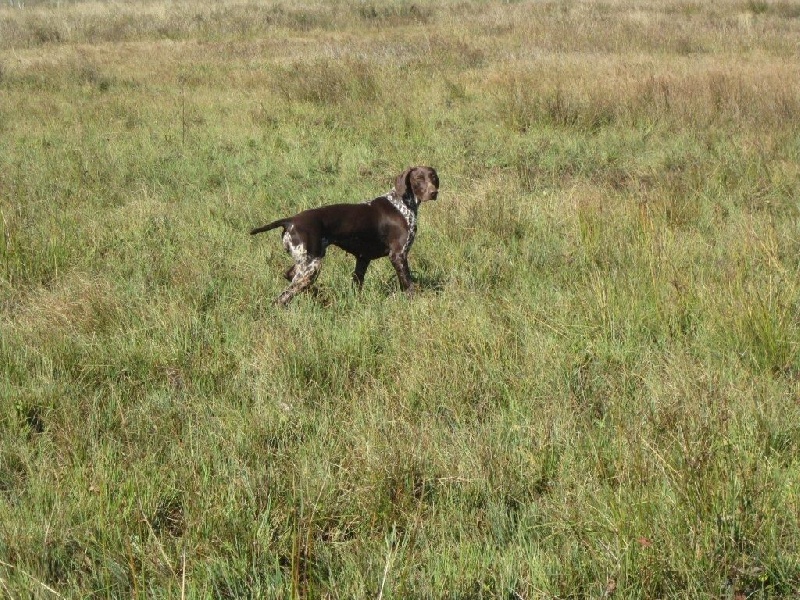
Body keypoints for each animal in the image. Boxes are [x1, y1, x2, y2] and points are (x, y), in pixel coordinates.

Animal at [250, 165, 440, 304]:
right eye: (418, 178)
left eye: (433, 177)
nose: (434, 192)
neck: (402, 204)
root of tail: (290, 221)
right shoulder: (398, 255)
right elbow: (408, 285)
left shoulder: (363, 259)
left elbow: (357, 284)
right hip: (311, 266)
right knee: (282, 297)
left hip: (305, 263)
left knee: (289, 277)